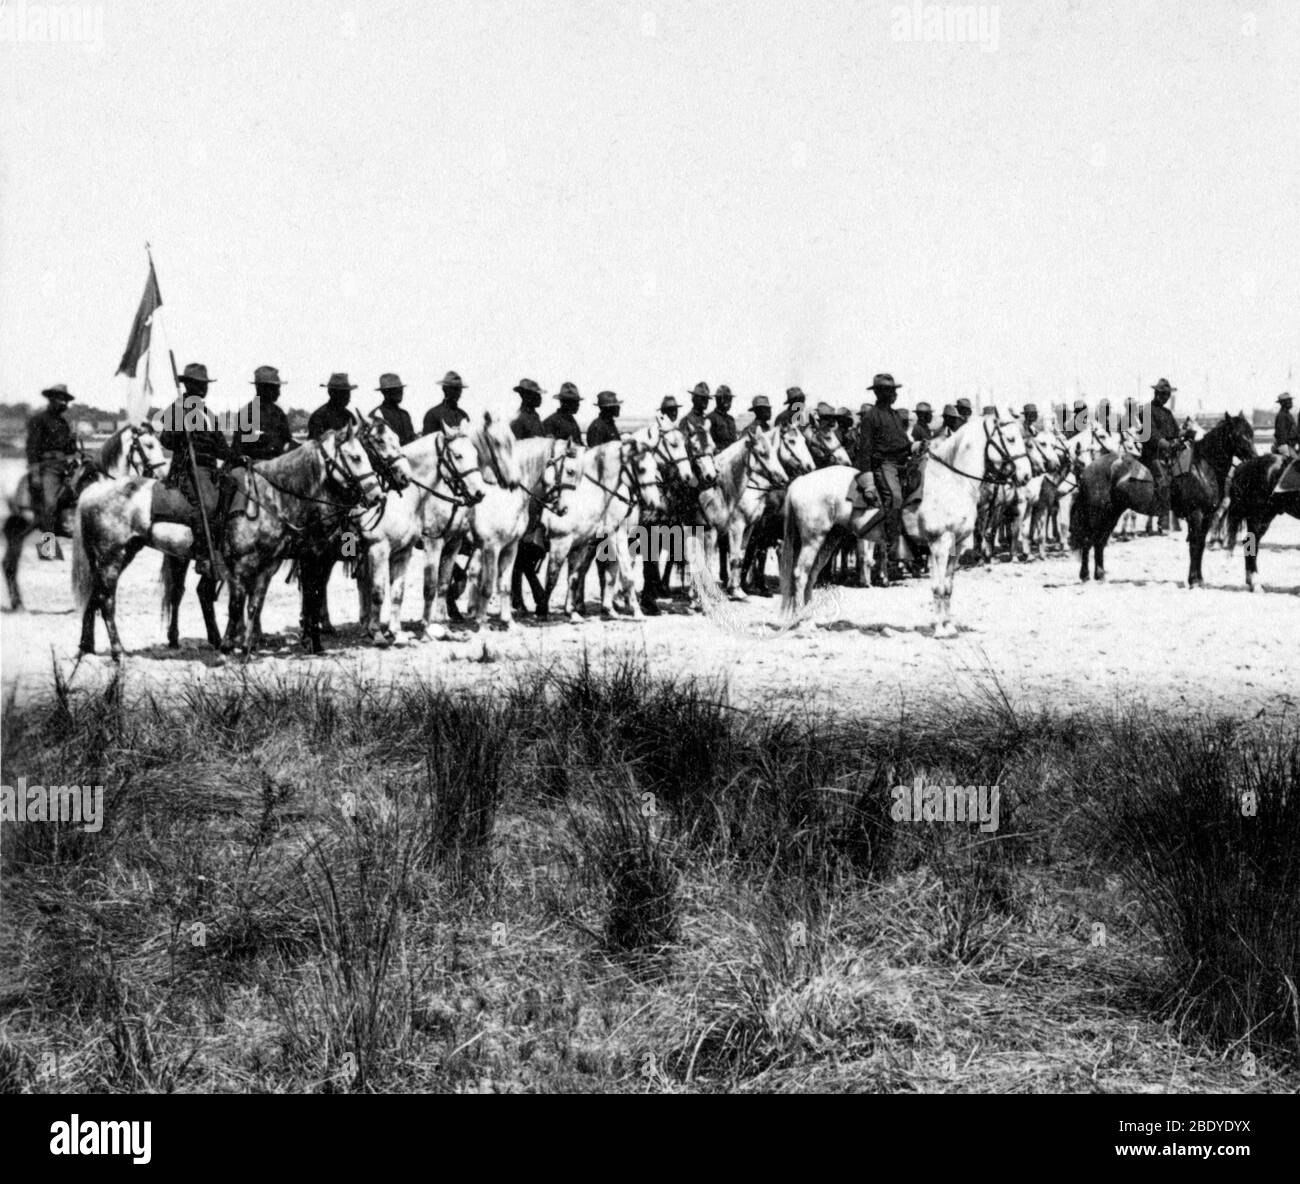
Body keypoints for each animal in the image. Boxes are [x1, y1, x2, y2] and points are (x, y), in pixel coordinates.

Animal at [920, 408, 1029, 639]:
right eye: (1011, 439)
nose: (1026, 475)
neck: (951, 482)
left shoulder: (957, 544)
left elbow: (947, 587)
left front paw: (948, 626)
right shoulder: (939, 543)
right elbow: (939, 587)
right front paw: (940, 630)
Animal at [1164, 413, 1253, 587]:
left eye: (1251, 433)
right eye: (1238, 435)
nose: (1254, 457)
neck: (1202, 468)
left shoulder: (1208, 515)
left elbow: (1200, 545)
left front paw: (1199, 579)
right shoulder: (1195, 514)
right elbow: (1194, 544)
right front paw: (1193, 580)